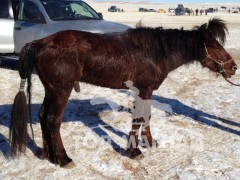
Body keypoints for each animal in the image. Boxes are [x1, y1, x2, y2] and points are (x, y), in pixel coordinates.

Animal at [8, 17, 236, 166]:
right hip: (61, 91)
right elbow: (138, 119)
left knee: (42, 115)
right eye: (215, 46)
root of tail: (40, 43)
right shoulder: (143, 90)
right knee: (52, 120)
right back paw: (63, 158)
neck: (156, 52)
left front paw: (149, 143)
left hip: (51, 91)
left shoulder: (146, 92)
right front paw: (133, 151)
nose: (233, 67)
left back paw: (48, 155)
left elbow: (146, 117)